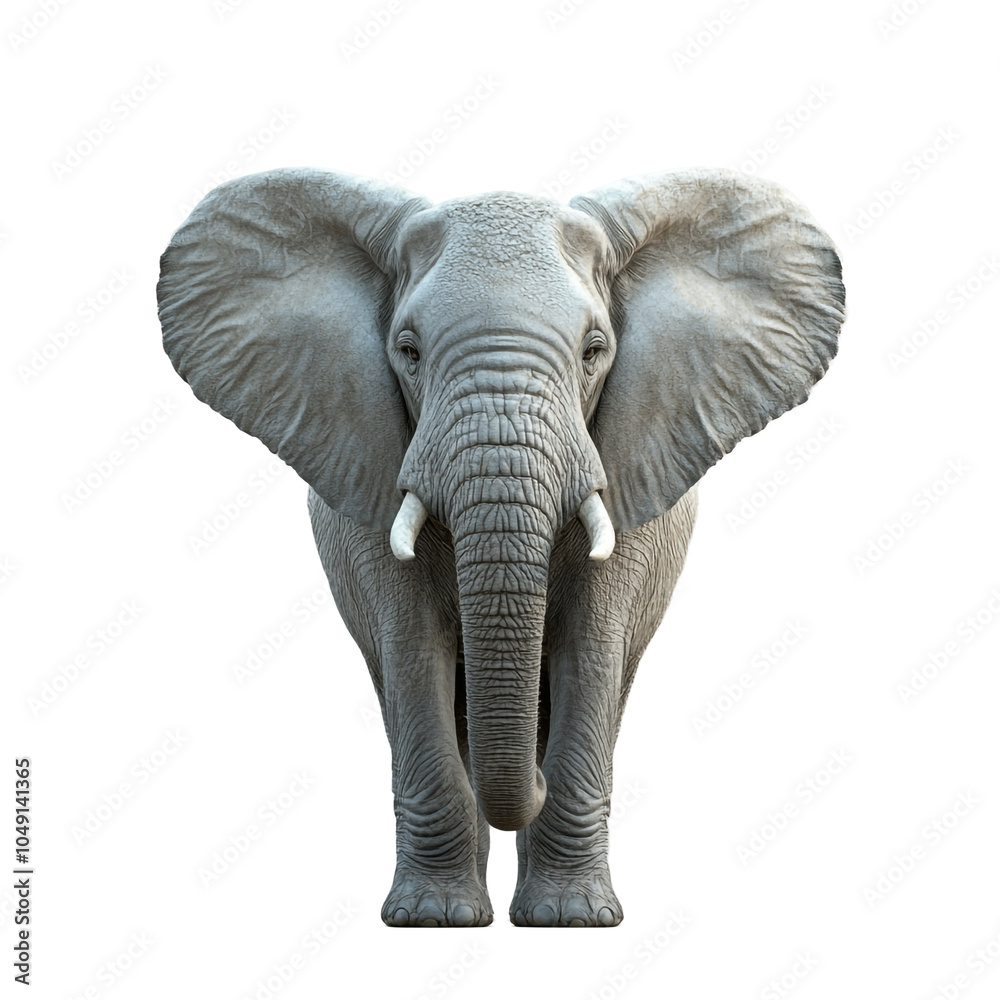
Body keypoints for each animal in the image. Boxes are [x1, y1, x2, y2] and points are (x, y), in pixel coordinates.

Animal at [157, 166, 845, 927]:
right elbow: (413, 647)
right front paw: (432, 919)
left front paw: (571, 920)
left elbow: (591, 646)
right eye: (408, 351)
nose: (530, 785)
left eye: (594, 350)